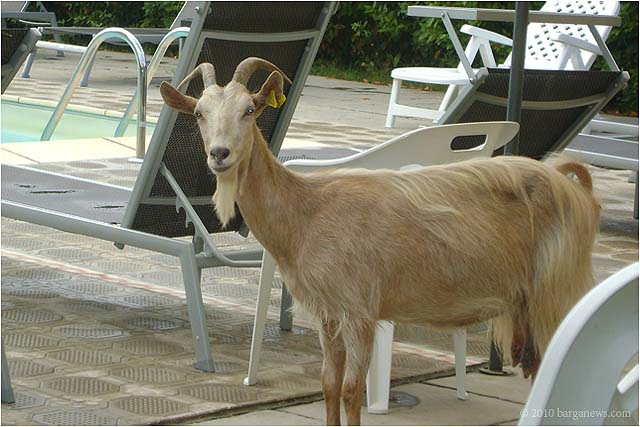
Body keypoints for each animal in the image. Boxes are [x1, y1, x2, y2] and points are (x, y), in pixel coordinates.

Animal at [160, 58, 601, 426]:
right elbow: (328, 385)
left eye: (249, 110)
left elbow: (352, 390)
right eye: (199, 113)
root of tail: (574, 186)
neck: (307, 212)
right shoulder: (329, 315)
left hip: (558, 289)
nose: (220, 154)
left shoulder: (360, 311)